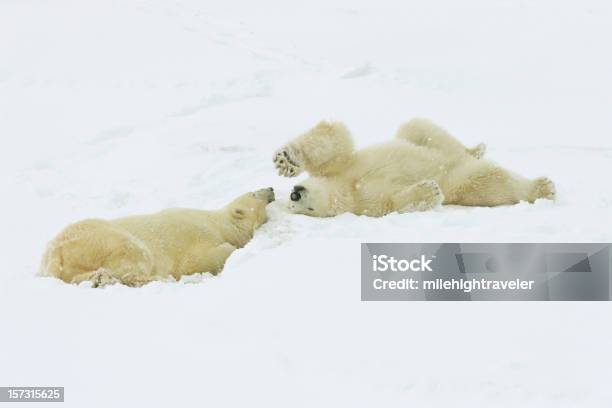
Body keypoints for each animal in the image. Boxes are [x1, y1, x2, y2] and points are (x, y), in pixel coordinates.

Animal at [40, 188, 274, 286]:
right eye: (253, 193)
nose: (270, 188)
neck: (219, 223)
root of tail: (56, 251)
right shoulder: (196, 233)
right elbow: (201, 259)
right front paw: (233, 249)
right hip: (102, 239)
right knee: (134, 256)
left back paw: (98, 279)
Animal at [272, 118, 556, 217]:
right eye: (301, 209)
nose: (295, 194)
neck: (345, 188)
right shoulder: (366, 204)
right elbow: (393, 202)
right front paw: (430, 190)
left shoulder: (342, 168)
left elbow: (335, 140)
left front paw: (285, 161)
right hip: (461, 180)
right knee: (490, 182)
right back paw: (543, 188)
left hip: (431, 145)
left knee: (418, 127)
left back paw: (476, 149)